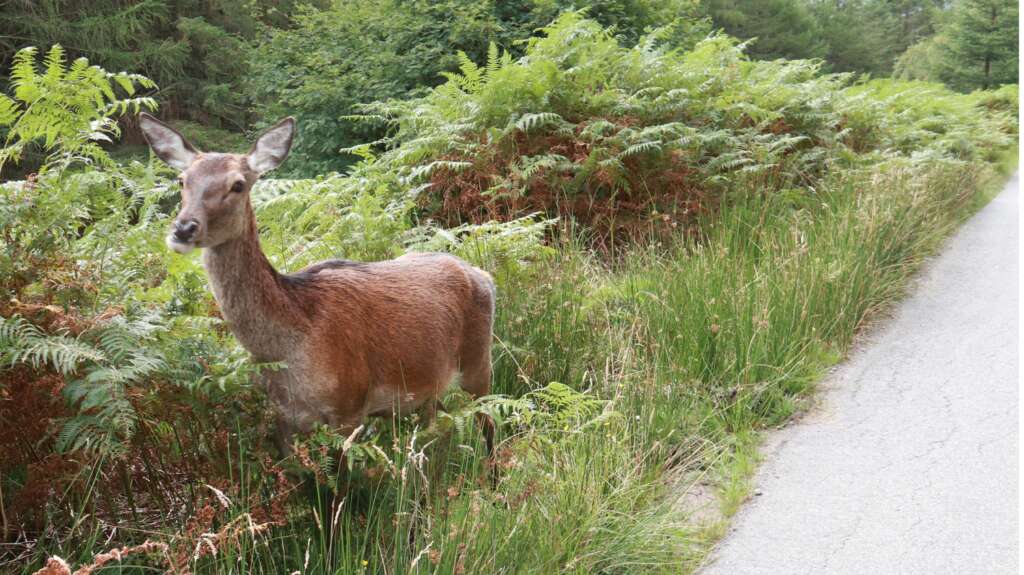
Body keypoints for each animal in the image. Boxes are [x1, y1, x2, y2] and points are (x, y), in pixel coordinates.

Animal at [138, 112, 497, 452]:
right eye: (182, 180)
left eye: (238, 184)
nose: (184, 229)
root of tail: (482, 274)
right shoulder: (282, 418)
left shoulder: (349, 405)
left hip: (479, 364)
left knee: (489, 422)